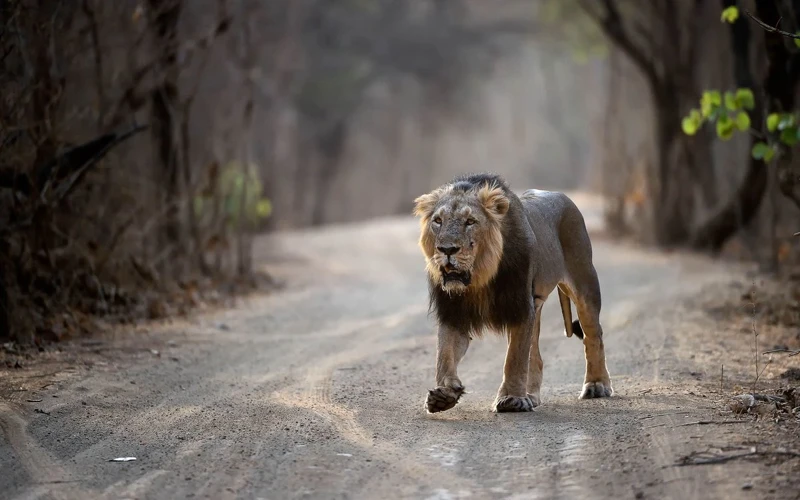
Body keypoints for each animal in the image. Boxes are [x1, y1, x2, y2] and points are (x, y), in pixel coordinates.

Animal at [412, 174, 612, 412]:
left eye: (470, 222)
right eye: (438, 221)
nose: (447, 249)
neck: (480, 278)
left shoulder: (520, 307)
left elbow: (514, 358)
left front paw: (511, 399)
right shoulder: (452, 311)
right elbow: (445, 354)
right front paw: (444, 394)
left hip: (584, 282)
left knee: (593, 334)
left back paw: (597, 385)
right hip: (537, 304)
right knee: (535, 356)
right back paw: (531, 395)